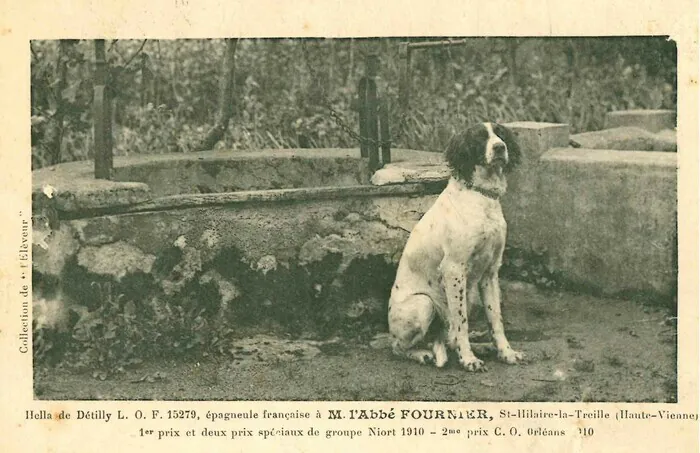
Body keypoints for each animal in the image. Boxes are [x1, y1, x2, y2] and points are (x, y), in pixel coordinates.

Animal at [388, 121, 524, 370]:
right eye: (480, 137)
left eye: (500, 133)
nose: (500, 147)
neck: (481, 197)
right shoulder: (454, 269)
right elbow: (462, 322)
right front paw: (468, 360)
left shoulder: (491, 272)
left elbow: (495, 319)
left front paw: (506, 353)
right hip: (424, 304)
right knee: (398, 347)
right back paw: (422, 354)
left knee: (449, 337)